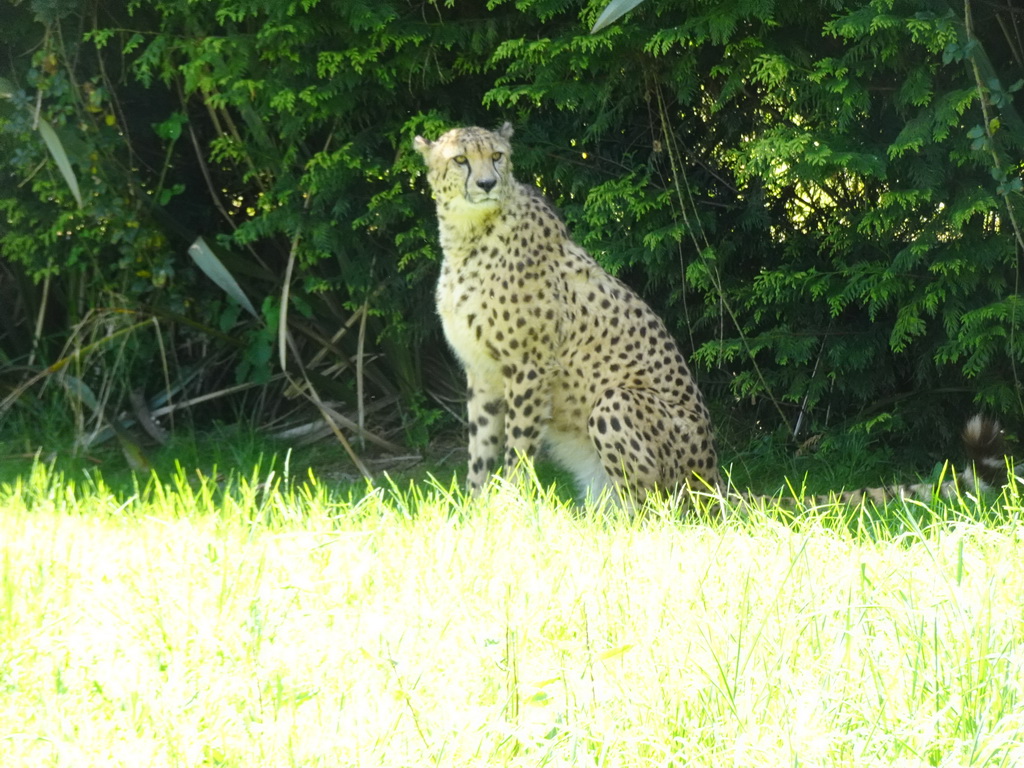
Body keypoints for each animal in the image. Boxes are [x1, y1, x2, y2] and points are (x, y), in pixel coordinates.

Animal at [413, 123, 1007, 507]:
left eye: (498, 157)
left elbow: (516, 450)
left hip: (618, 403)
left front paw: (510, 510)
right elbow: (480, 448)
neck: (469, 234)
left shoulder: (528, 368)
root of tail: (713, 474)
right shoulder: (482, 375)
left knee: (659, 511)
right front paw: (475, 513)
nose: (486, 183)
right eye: (460, 160)